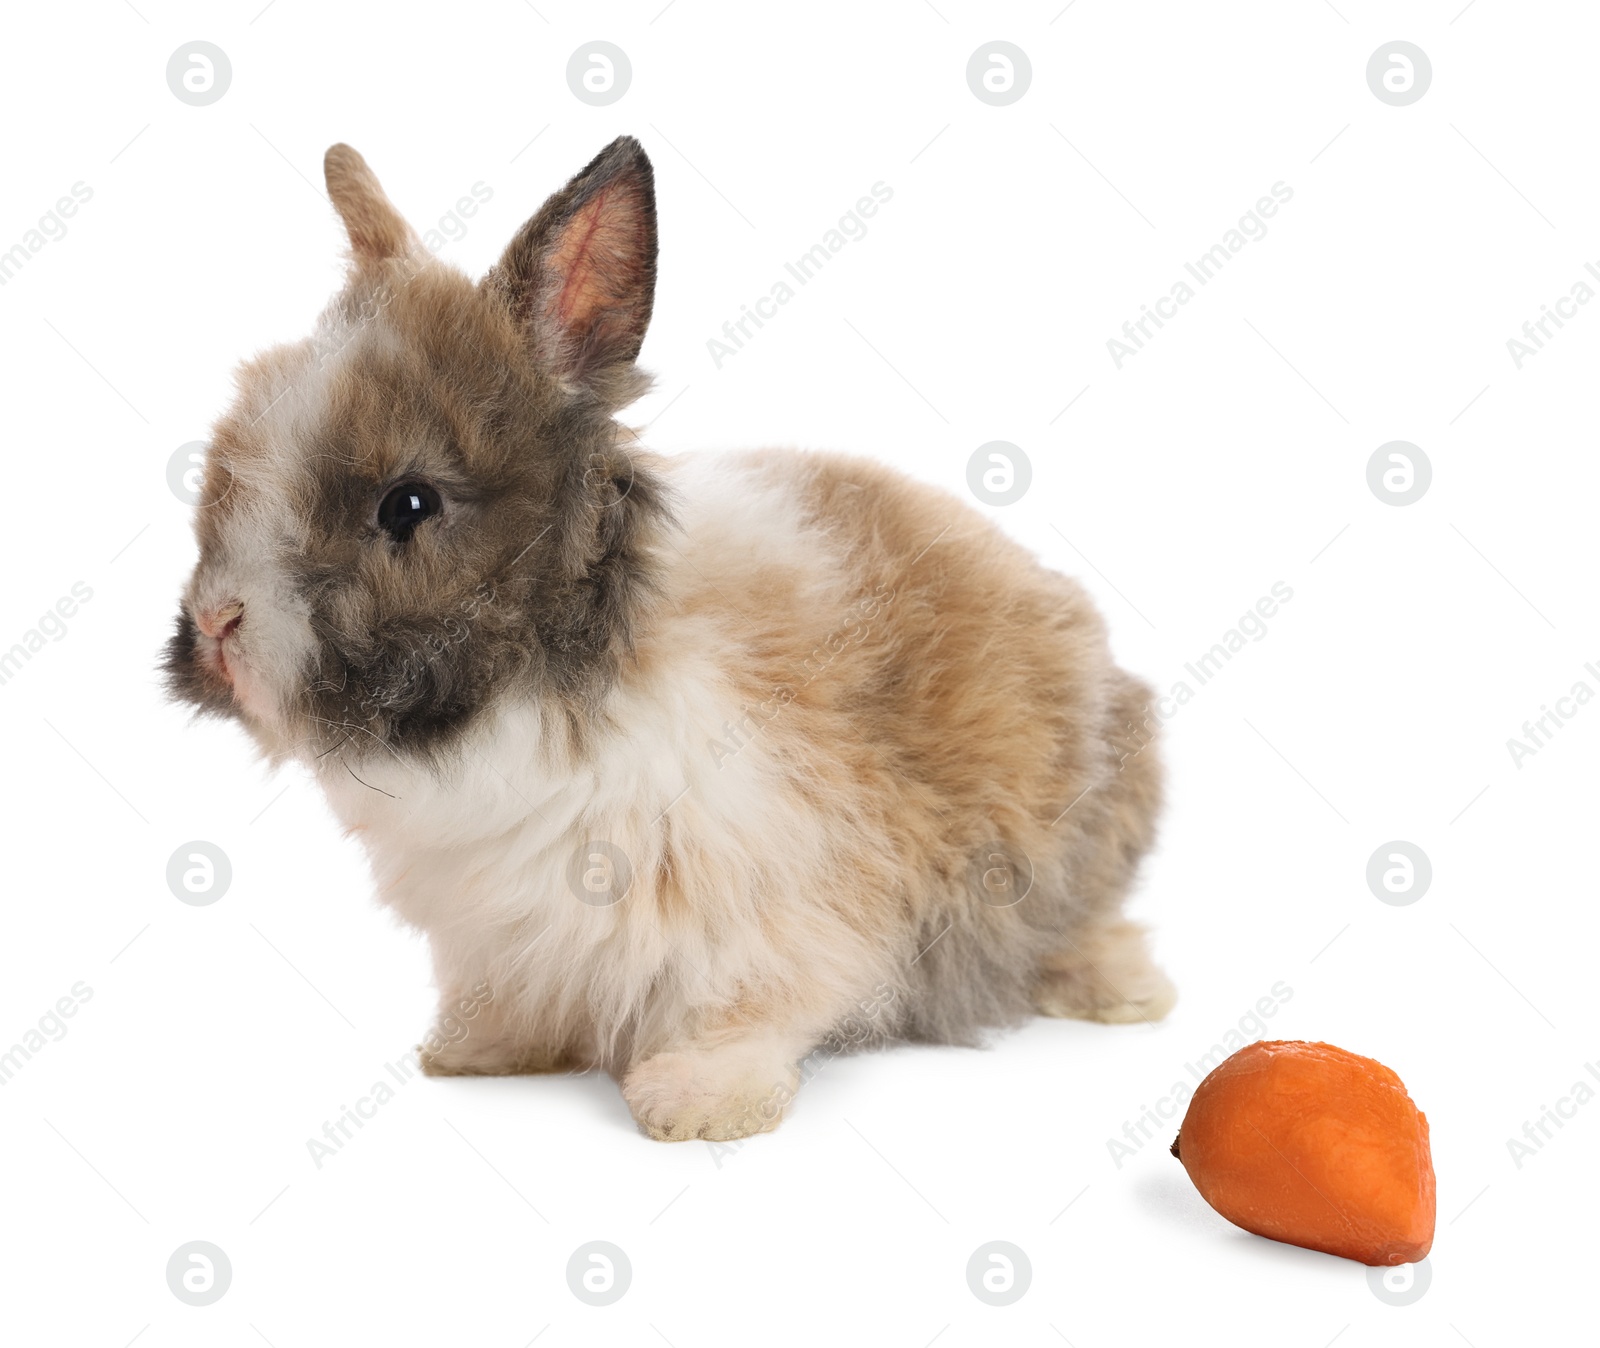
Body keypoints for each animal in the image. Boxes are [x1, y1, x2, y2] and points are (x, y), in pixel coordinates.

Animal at [165, 136, 1177, 1139]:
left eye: (407, 505)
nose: (217, 625)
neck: (545, 692)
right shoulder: (500, 929)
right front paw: (477, 1053)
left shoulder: (773, 883)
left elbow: (750, 1001)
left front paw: (696, 1103)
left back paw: (1125, 994)